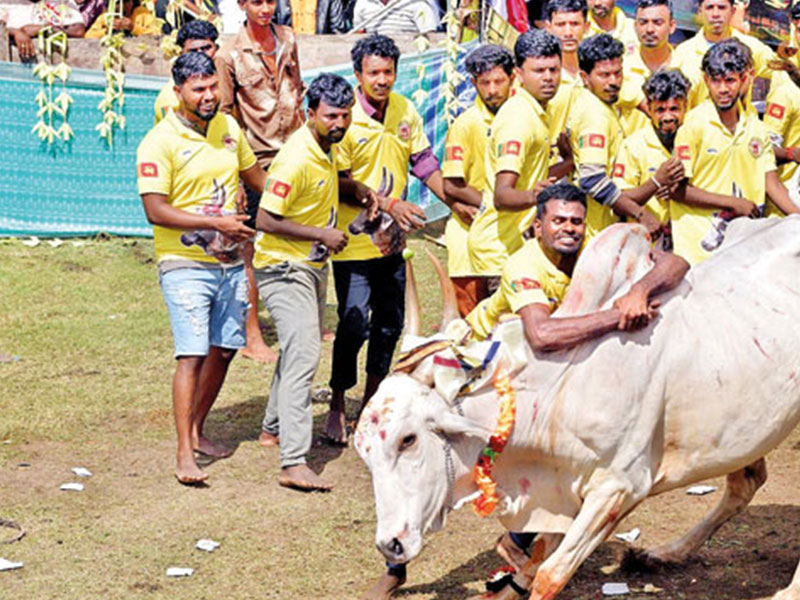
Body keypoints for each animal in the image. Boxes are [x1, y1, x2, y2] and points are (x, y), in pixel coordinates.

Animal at [358, 217, 800, 600]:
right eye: (365, 453)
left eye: (408, 439)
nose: (390, 544)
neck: (561, 388)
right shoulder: (564, 491)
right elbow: (534, 560)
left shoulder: (618, 487)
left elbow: (550, 574)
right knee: (745, 483)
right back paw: (664, 553)